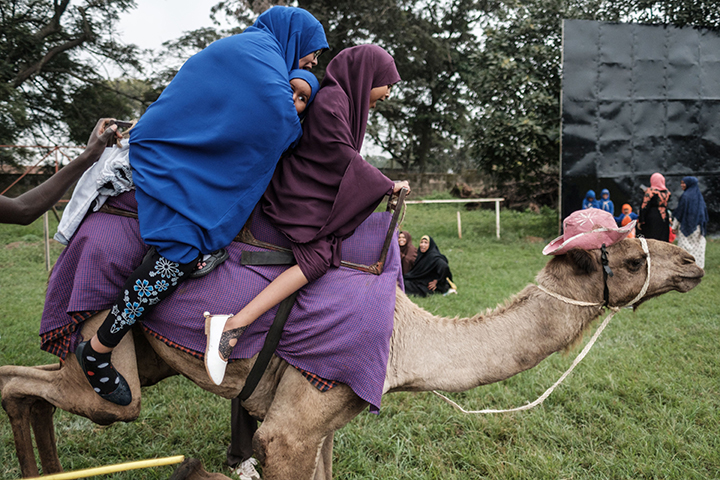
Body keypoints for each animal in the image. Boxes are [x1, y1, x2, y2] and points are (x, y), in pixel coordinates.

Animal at [0, 237, 703, 479]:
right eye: (633, 257)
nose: (693, 261)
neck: (406, 342)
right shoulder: (287, 431)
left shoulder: (323, 425)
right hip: (104, 348)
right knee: (22, 382)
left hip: (144, 359)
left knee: (35, 391)